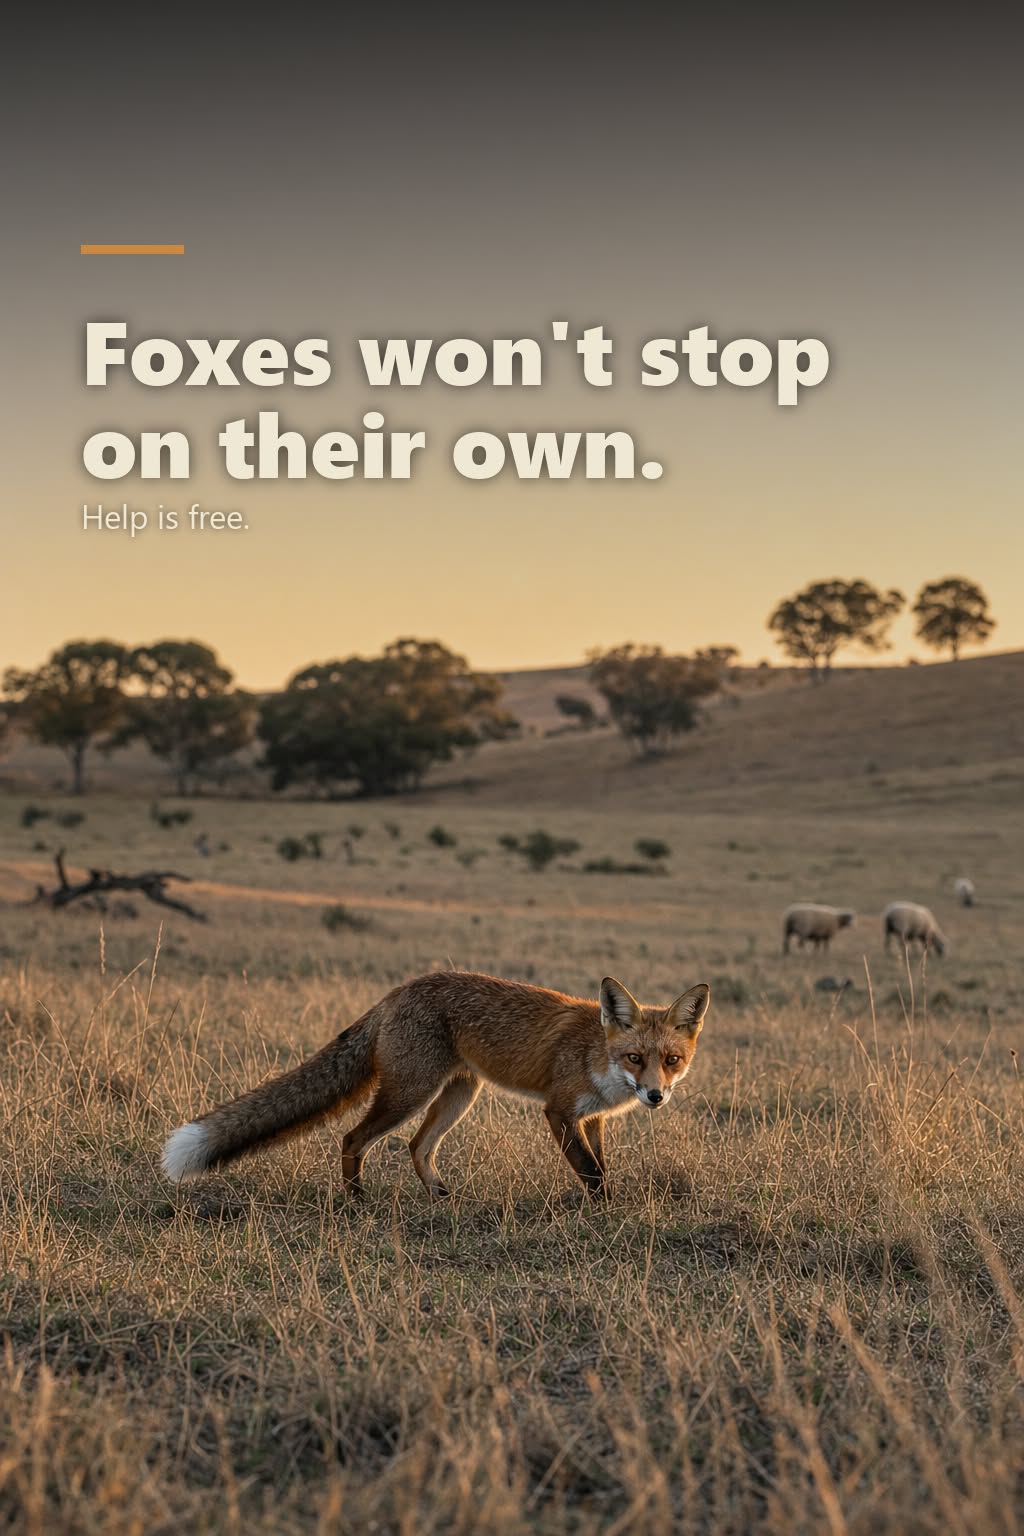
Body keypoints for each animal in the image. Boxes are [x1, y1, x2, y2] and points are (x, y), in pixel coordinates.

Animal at [162, 970, 710, 1200]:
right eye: (635, 1058)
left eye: (672, 1060)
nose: (655, 1095)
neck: (596, 1054)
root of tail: (398, 991)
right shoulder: (558, 1112)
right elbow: (590, 1172)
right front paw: (605, 1212)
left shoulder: (591, 1118)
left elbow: (600, 1165)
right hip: (411, 1093)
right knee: (353, 1138)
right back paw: (356, 1202)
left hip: (458, 1095)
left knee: (415, 1146)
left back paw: (438, 1195)